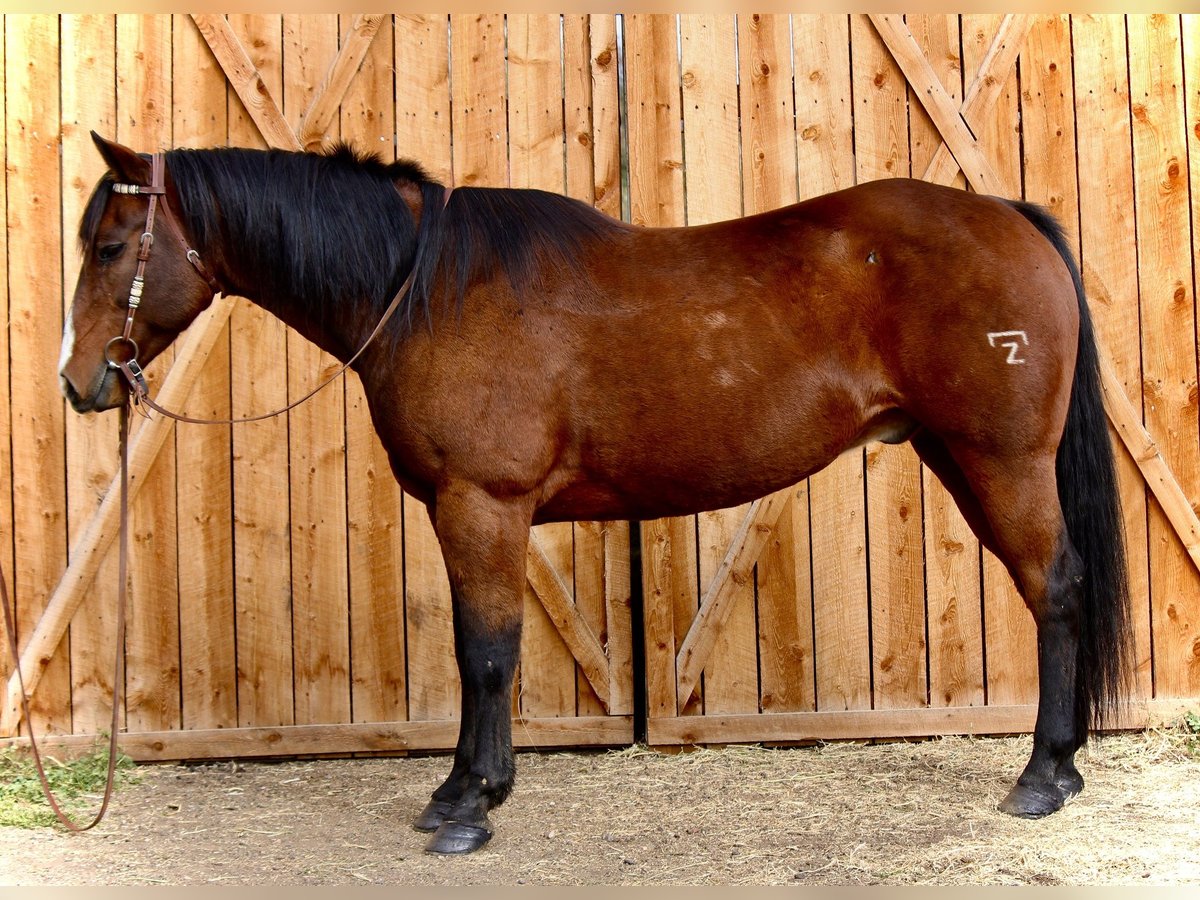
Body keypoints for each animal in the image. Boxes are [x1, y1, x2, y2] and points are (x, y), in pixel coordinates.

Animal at [60, 132, 1132, 854]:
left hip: (1001, 463)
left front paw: (468, 808)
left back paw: (1044, 774)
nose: (79, 383)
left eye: (110, 246)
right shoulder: (466, 511)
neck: (426, 287)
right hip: (964, 458)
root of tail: (1010, 217)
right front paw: (465, 790)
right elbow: (477, 651)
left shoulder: (482, 504)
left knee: (1057, 592)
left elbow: (487, 653)